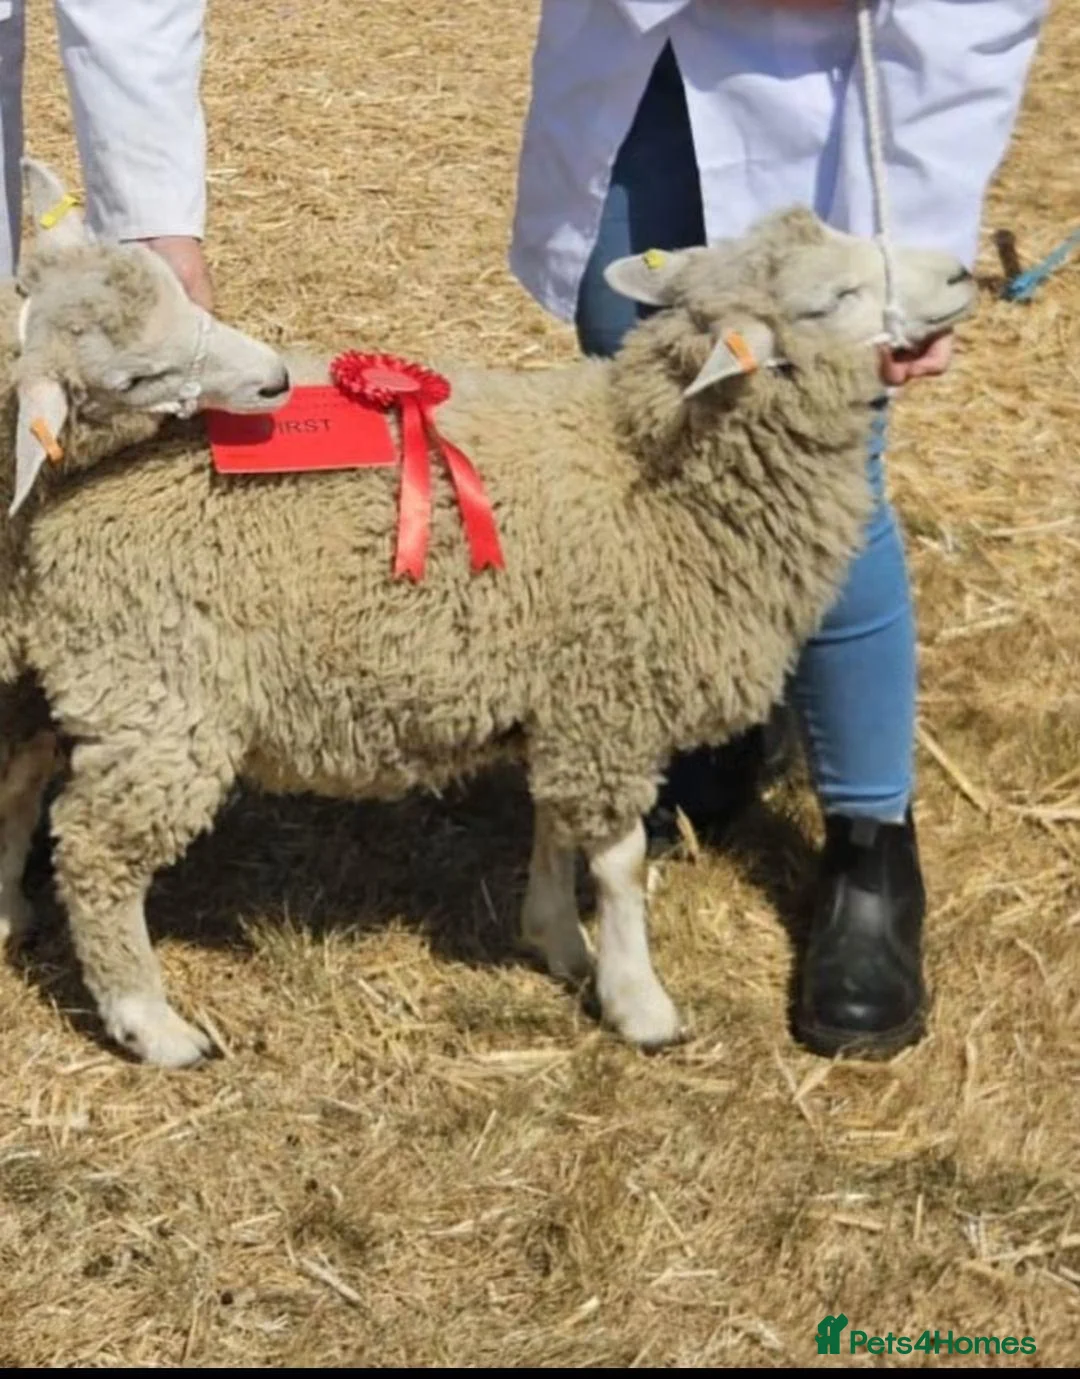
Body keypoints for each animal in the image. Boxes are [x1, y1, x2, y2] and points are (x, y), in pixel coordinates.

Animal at [0, 159, 979, 1066]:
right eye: (834, 297)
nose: (963, 272)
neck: (649, 465)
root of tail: (61, 501)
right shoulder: (610, 701)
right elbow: (619, 860)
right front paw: (638, 999)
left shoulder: (567, 690)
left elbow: (554, 823)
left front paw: (557, 939)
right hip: (165, 703)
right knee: (94, 848)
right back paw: (150, 1022)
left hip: (80, 686)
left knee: (21, 777)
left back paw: (11, 911)